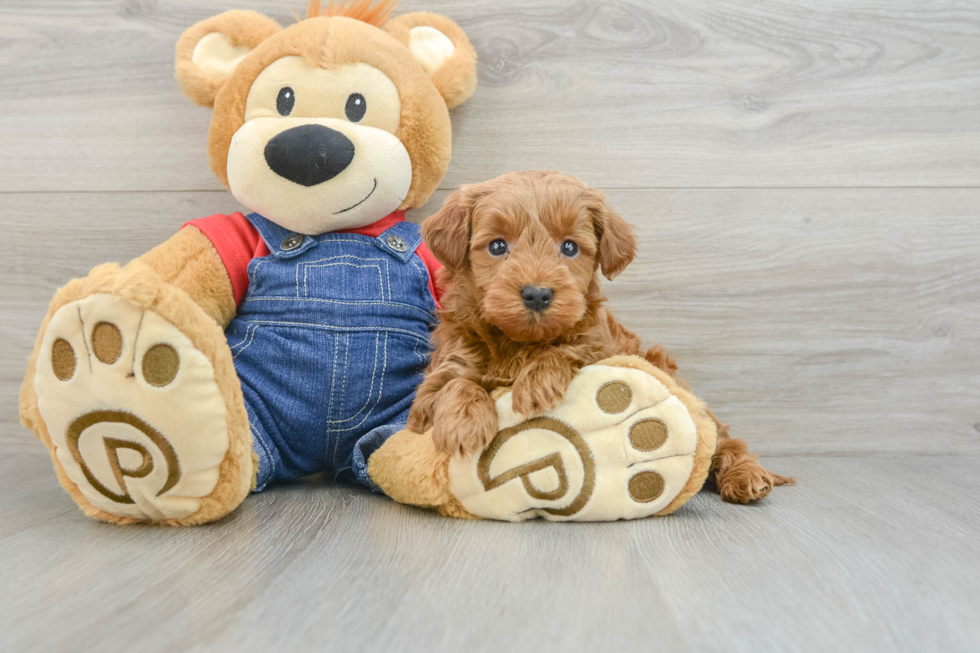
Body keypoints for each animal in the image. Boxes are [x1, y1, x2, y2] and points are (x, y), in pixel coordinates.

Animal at [410, 171, 792, 502]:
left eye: (569, 247)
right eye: (497, 245)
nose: (537, 294)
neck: (519, 343)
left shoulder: (603, 349)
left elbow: (571, 350)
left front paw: (537, 381)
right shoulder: (435, 383)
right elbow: (453, 385)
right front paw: (464, 424)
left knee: (723, 439)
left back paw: (746, 475)